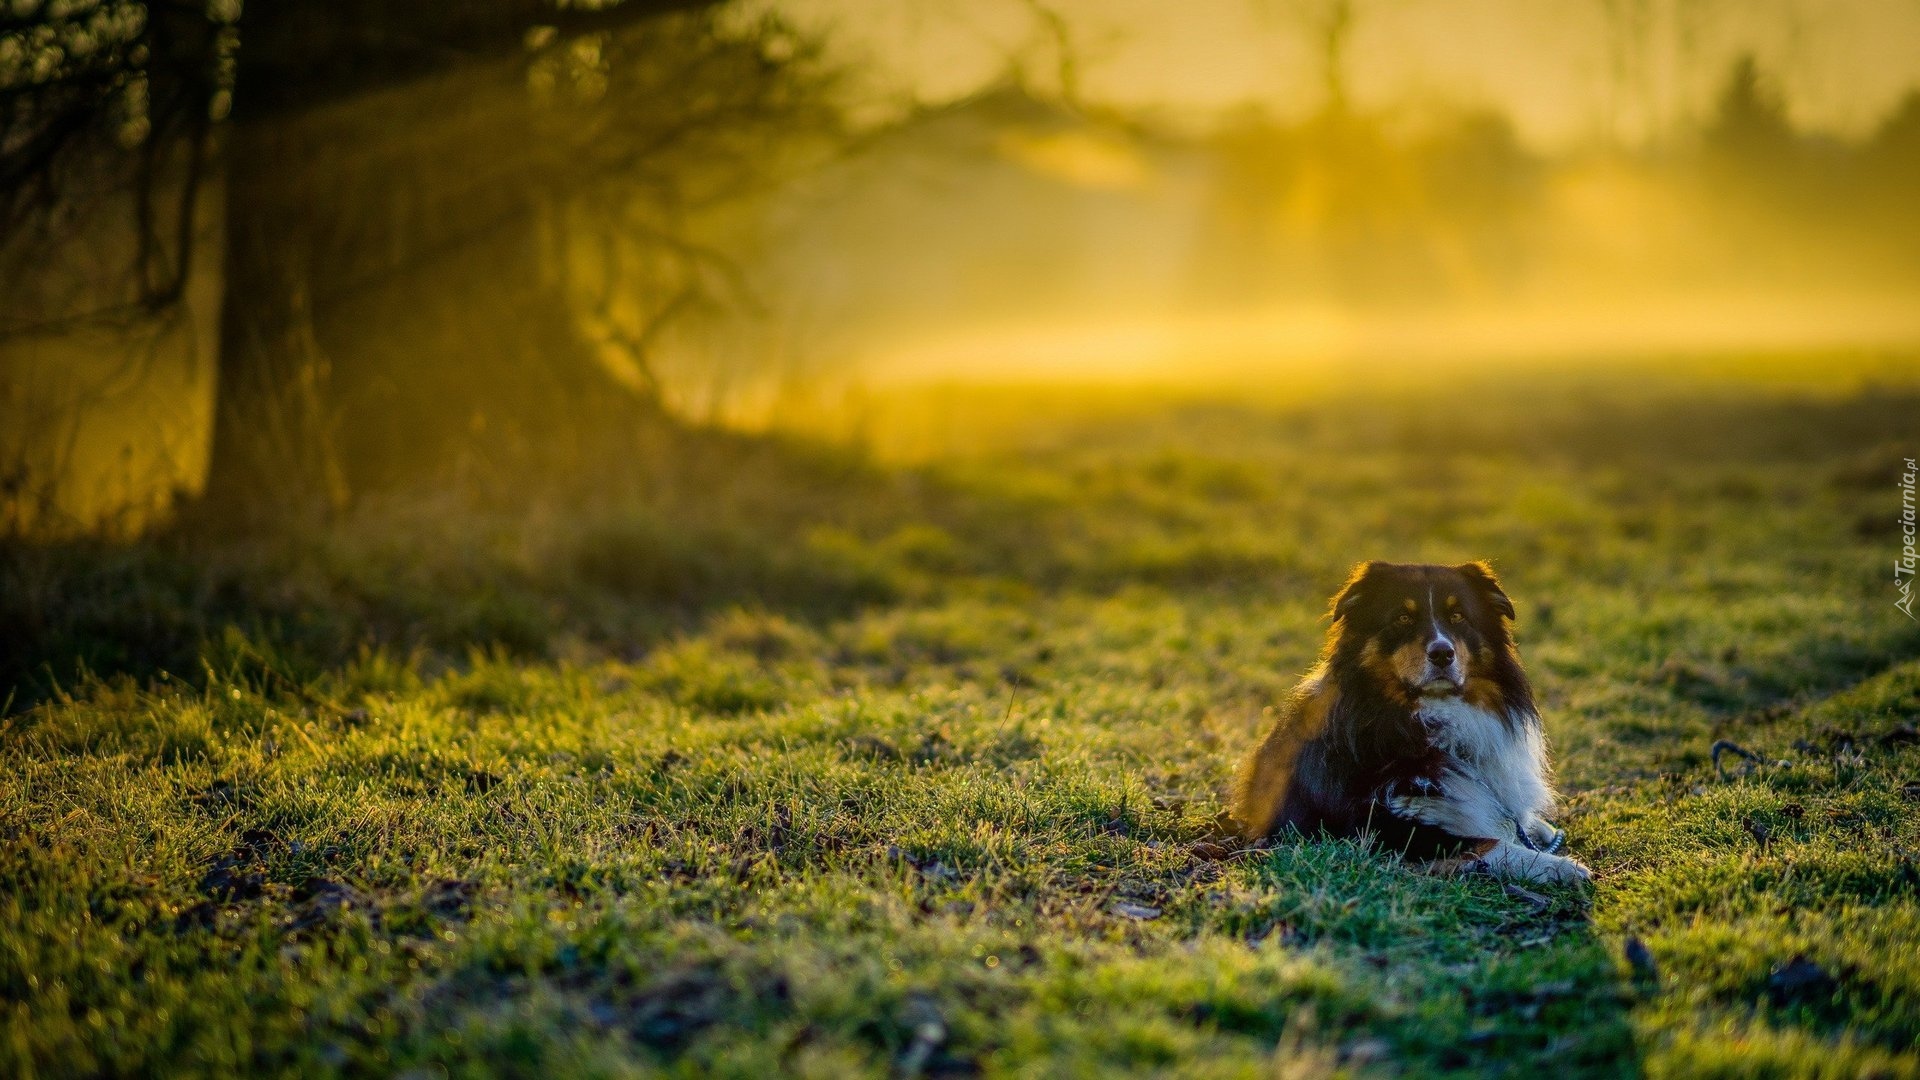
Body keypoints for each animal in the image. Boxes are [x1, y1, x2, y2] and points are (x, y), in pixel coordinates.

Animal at [1228, 557, 1589, 880]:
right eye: (1402, 617)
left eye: (1458, 616)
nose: (1443, 653)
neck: (1428, 720)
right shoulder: (1381, 827)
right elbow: (1487, 842)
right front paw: (1561, 867)